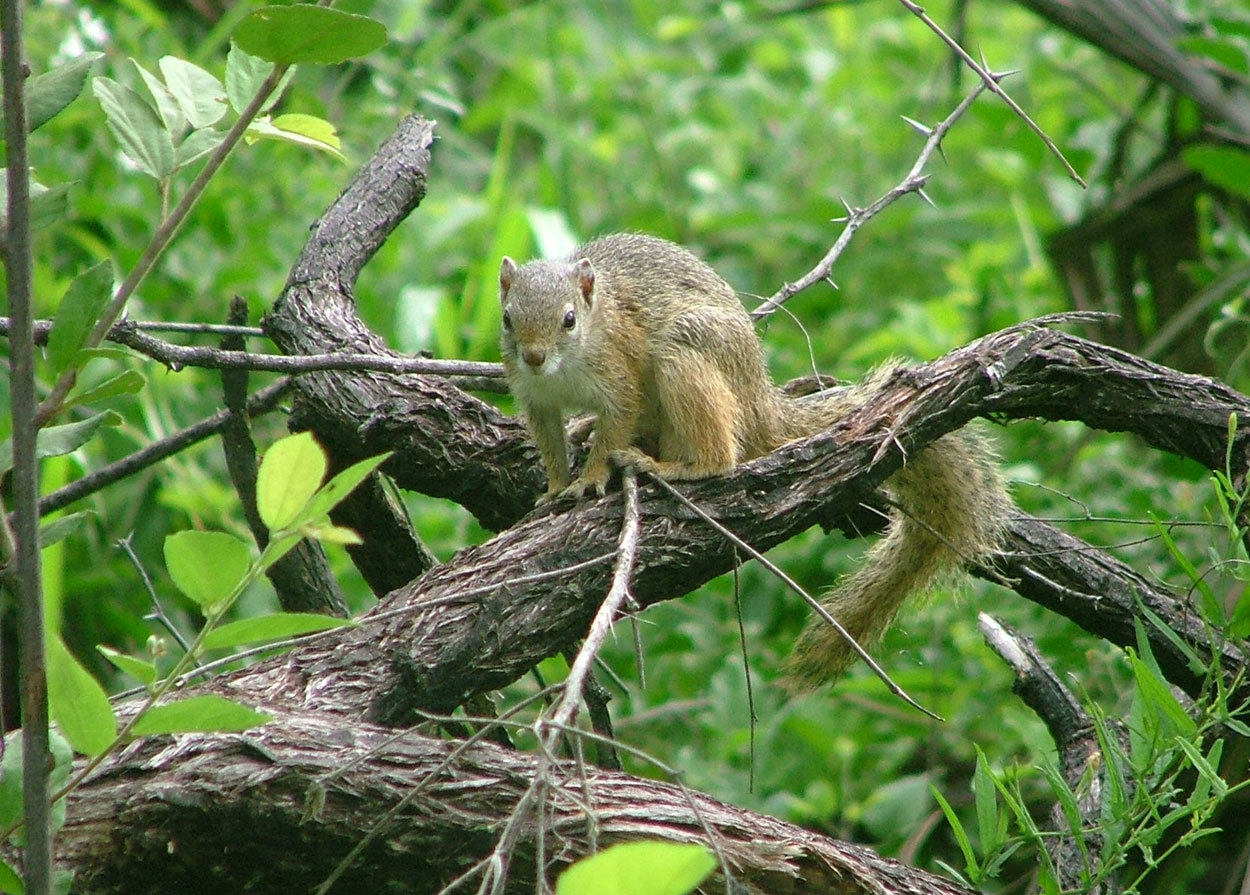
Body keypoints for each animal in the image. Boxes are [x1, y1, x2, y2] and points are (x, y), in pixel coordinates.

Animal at [495, 232, 1005, 685]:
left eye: (569, 319)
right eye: (506, 318)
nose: (534, 356)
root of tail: (760, 402)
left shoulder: (621, 376)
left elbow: (614, 427)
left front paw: (591, 476)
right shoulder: (536, 399)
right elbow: (549, 442)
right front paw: (556, 487)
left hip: (688, 352)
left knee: (721, 456)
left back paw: (666, 466)